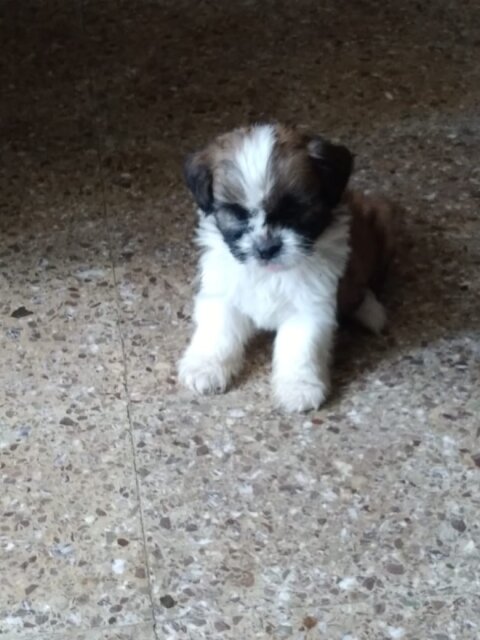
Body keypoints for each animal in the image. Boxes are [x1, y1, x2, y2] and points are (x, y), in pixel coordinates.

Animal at [178, 123, 396, 412]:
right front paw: (205, 367)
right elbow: (218, 330)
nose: (266, 248)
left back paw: (370, 310)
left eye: (295, 210)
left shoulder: (309, 307)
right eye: (238, 214)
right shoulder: (223, 292)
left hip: (383, 220)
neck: (269, 274)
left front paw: (299, 387)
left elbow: (300, 348)